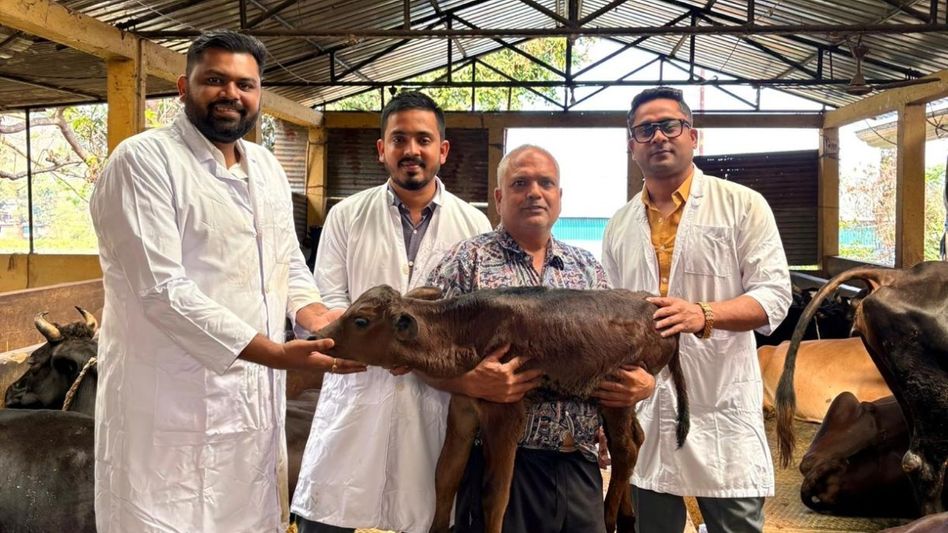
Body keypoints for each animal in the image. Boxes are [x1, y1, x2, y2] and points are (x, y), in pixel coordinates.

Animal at [313, 284, 690, 533]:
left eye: (360, 320)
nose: (318, 334)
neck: (464, 331)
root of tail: (650, 302)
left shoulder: (506, 410)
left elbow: (495, 493)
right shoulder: (464, 406)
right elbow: (445, 475)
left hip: (618, 394)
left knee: (626, 451)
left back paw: (610, 518)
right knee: (636, 440)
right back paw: (626, 517)